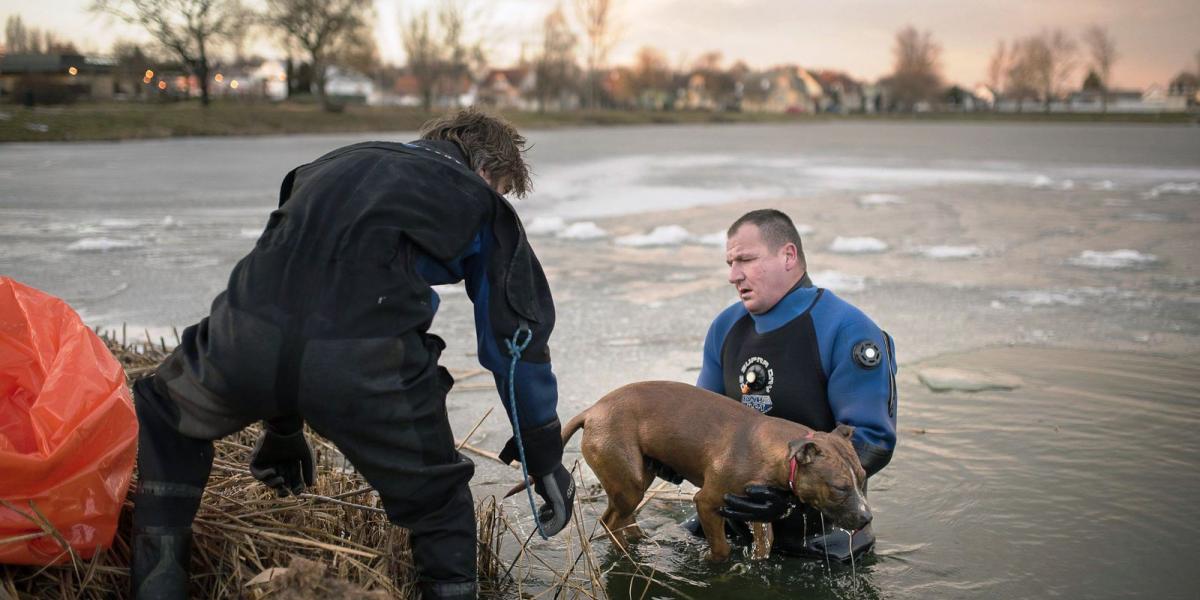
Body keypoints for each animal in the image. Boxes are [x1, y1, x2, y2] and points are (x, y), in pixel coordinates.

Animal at [511, 381, 868, 559]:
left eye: (863, 480)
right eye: (840, 487)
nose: (866, 518)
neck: (776, 450)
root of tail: (592, 410)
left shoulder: (758, 510)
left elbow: (763, 546)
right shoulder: (707, 503)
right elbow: (722, 548)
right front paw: (713, 563)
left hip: (635, 478)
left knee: (623, 518)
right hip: (627, 483)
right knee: (610, 522)